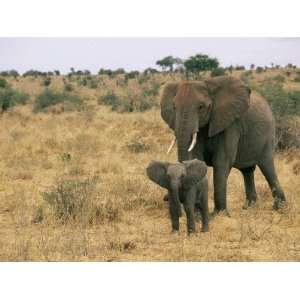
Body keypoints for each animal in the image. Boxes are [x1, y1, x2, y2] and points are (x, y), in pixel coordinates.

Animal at [162, 77, 286, 213]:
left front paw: (218, 213)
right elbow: (196, 159)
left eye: (201, 107)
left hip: (268, 135)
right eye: (174, 107)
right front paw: (197, 213)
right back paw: (249, 207)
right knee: (247, 171)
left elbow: (222, 161)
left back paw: (279, 208)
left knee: (267, 166)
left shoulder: (231, 124)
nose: (165, 198)